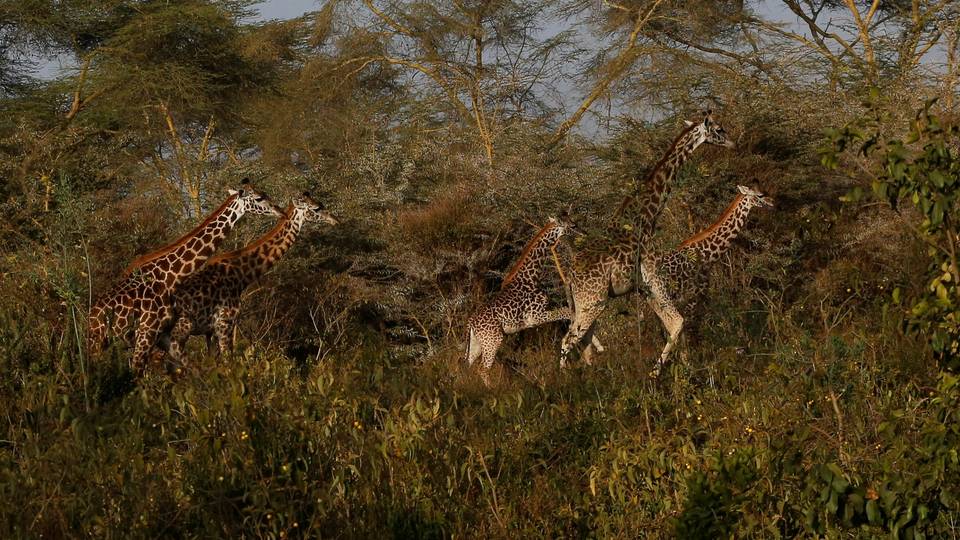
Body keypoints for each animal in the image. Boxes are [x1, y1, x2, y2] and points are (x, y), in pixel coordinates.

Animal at [87, 180, 281, 373]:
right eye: (259, 198)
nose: (279, 210)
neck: (168, 277)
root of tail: (91, 316)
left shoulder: (162, 335)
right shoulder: (147, 332)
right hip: (100, 342)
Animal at [157, 193, 337, 363]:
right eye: (316, 208)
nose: (335, 220)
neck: (241, 274)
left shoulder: (210, 331)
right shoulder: (224, 323)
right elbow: (228, 362)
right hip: (178, 331)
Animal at [465, 211, 593, 384]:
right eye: (572, 225)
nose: (585, 234)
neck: (532, 277)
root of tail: (471, 323)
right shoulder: (535, 317)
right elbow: (568, 312)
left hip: (477, 344)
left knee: (468, 366)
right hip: (493, 340)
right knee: (483, 369)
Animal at [558, 111, 736, 367]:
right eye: (719, 129)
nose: (733, 143)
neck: (648, 214)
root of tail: (570, 279)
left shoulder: (644, 287)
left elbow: (672, 324)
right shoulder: (652, 273)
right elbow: (678, 322)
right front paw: (659, 371)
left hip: (585, 304)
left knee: (584, 344)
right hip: (592, 302)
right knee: (568, 340)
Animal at [642, 185, 772, 376]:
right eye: (760, 195)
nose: (772, 202)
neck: (708, 256)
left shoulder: (688, 299)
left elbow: (683, 333)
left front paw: (687, 365)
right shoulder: (695, 295)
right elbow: (685, 328)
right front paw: (688, 369)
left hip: (653, 299)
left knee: (670, 324)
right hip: (662, 294)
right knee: (676, 322)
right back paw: (655, 373)